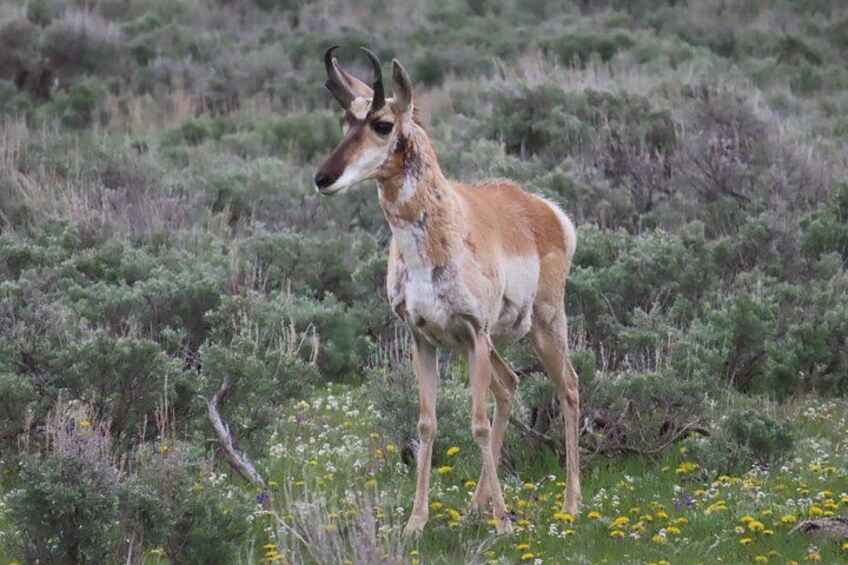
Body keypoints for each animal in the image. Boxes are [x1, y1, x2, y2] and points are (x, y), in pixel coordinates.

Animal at [314, 46, 581, 535]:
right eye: (345, 120)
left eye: (382, 123)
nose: (323, 178)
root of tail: (544, 209)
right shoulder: (423, 338)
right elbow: (426, 423)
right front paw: (416, 521)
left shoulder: (474, 332)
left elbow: (475, 424)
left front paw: (504, 525)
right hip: (487, 345)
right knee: (509, 385)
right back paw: (477, 505)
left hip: (543, 326)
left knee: (568, 387)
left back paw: (570, 504)